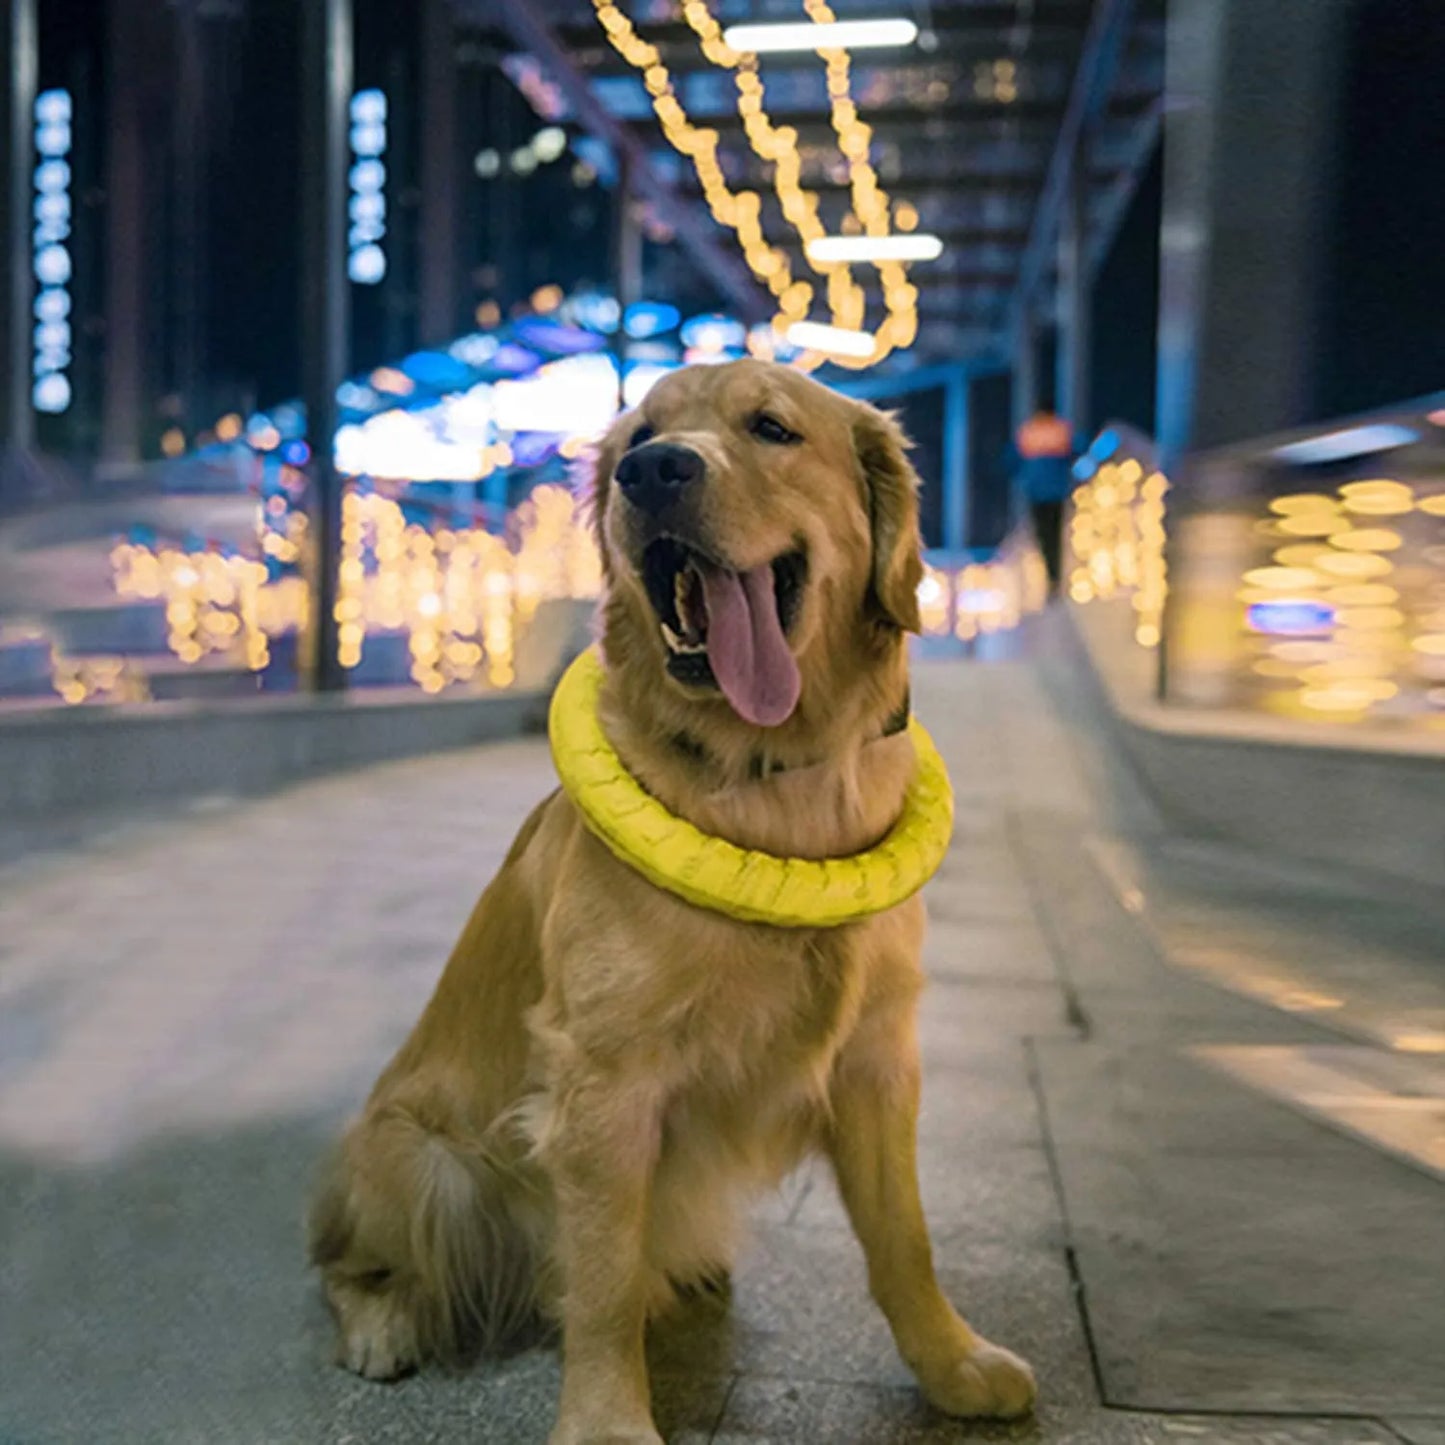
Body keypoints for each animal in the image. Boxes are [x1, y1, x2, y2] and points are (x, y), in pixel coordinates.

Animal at [313, 355, 1040, 1439]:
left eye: (772, 428)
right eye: (640, 435)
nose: (652, 473)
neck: (771, 776)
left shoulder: (878, 1060)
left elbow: (904, 1237)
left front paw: (952, 1364)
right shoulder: (604, 1085)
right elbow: (606, 1282)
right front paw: (608, 1421)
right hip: (422, 1162)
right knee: (343, 1264)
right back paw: (381, 1321)